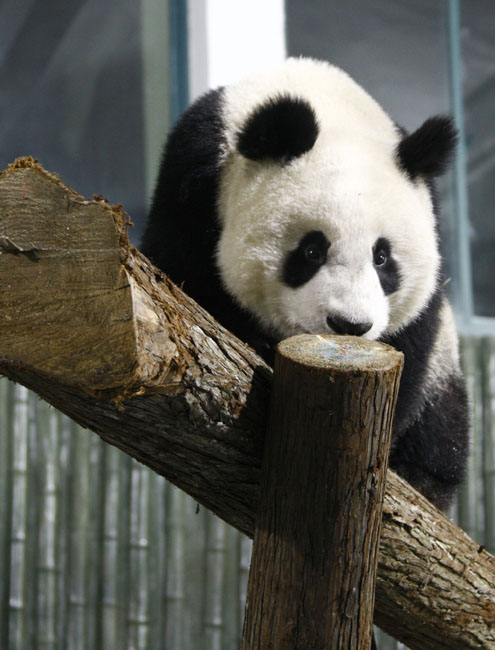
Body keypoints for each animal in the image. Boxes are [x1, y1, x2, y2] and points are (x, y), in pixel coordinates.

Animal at [141, 58, 470, 508]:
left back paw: (425, 479)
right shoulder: (193, 180)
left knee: (443, 422)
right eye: (312, 251)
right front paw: (256, 343)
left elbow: (413, 338)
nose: (350, 326)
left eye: (382, 257)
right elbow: (182, 281)